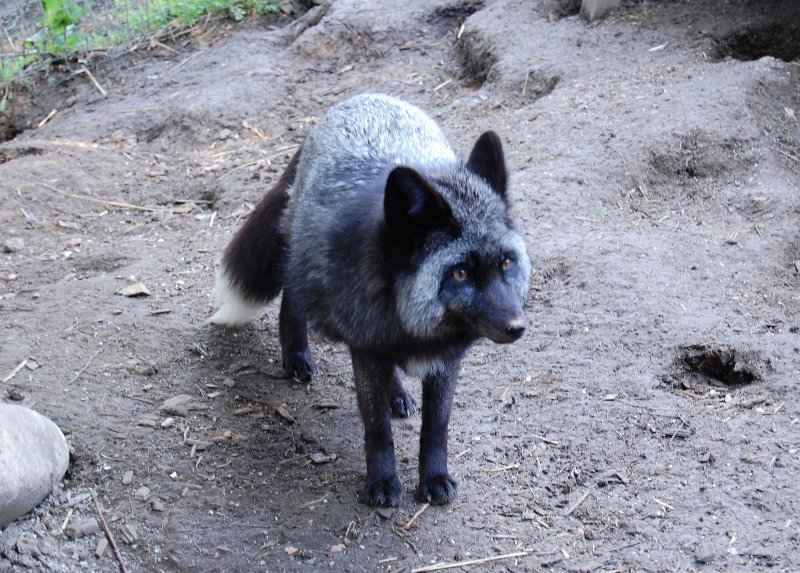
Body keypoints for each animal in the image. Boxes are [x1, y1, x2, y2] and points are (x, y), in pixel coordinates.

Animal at [211, 94, 532, 504]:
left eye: (506, 263)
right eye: (460, 273)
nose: (516, 327)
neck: (415, 328)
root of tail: (357, 98)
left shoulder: (445, 361)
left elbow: (436, 427)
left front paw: (434, 477)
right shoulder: (364, 349)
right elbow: (377, 429)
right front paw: (381, 483)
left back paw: (396, 393)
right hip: (306, 262)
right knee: (292, 295)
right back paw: (296, 356)